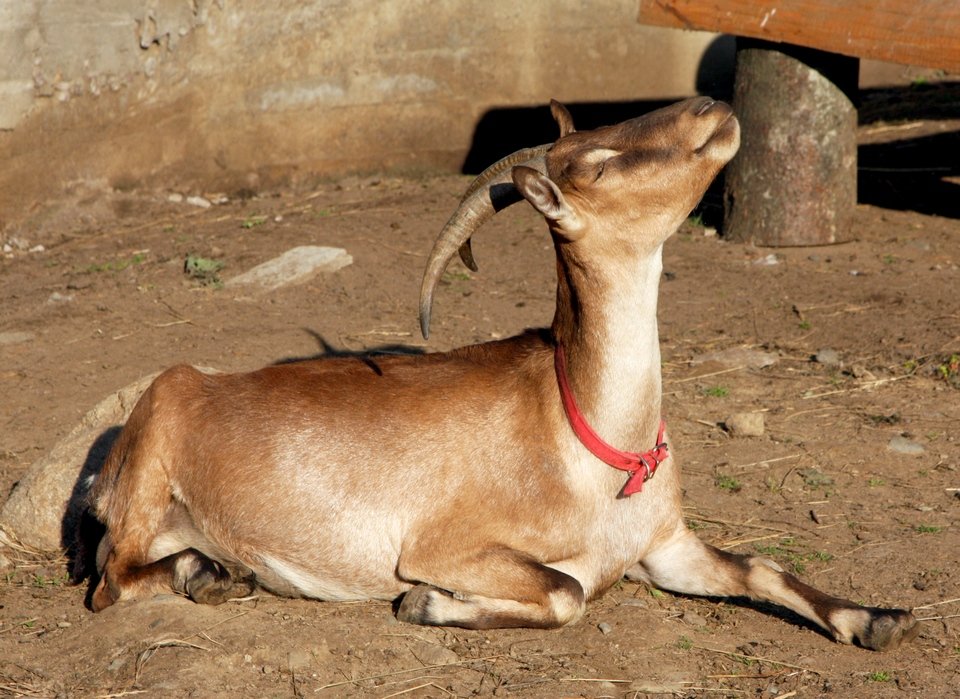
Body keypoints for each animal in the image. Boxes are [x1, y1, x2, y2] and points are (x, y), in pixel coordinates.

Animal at [92, 97, 924, 652]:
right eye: (597, 162)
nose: (711, 106)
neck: (591, 443)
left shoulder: (666, 545)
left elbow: (760, 564)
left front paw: (876, 617)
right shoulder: (446, 543)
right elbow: (567, 590)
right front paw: (426, 605)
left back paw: (214, 570)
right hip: (152, 461)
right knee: (110, 579)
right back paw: (204, 572)